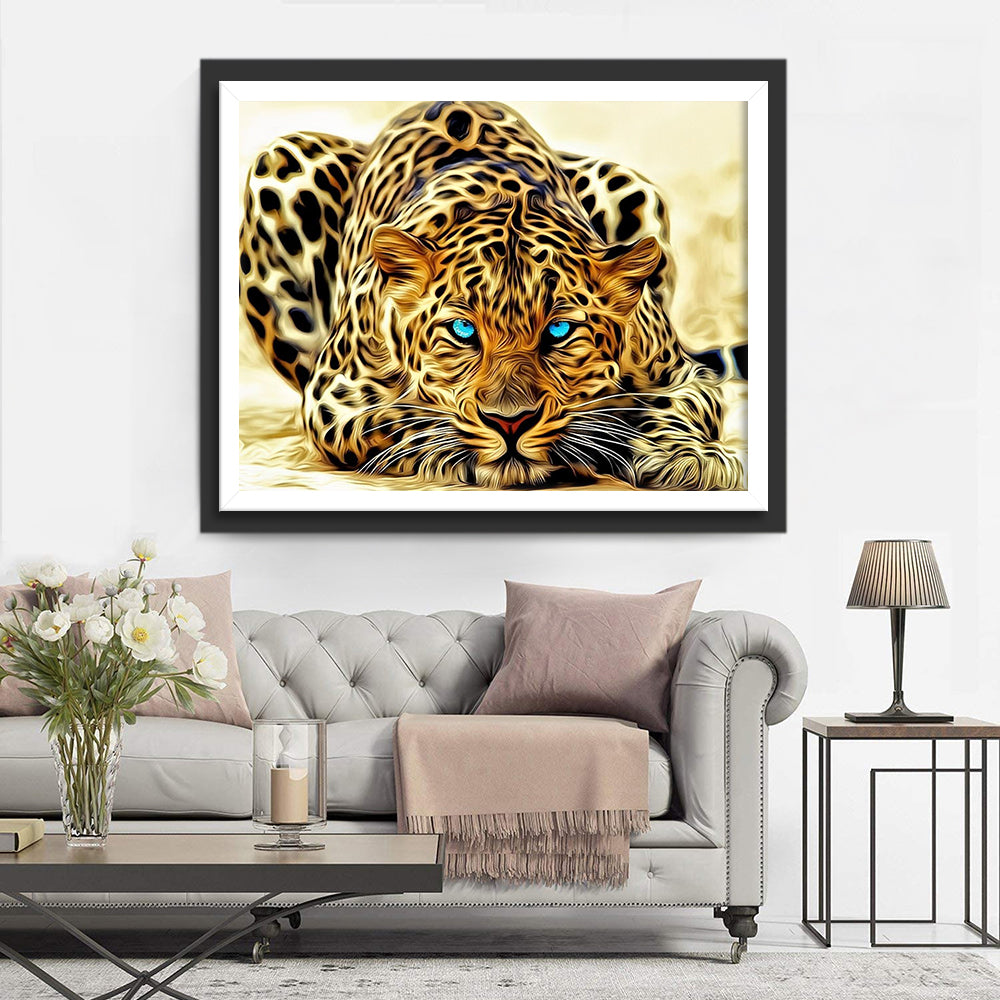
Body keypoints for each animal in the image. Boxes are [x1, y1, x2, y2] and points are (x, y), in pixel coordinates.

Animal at [239, 100, 745, 490]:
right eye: (463, 330)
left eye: (560, 330)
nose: (511, 422)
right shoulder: (334, 395)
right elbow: (400, 420)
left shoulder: (683, 374)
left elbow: (682, 407)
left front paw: (688, 457)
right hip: (279, 161)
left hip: (628, 182)